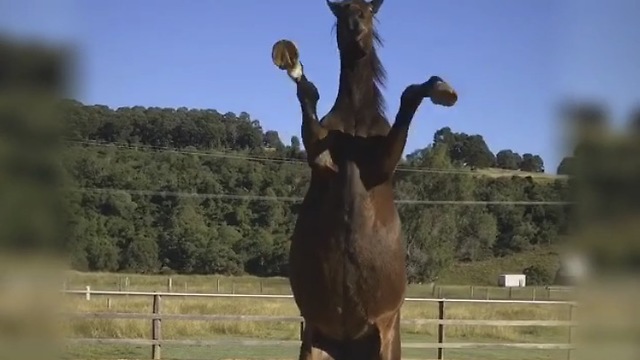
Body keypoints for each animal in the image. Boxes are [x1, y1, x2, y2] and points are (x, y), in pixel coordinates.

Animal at [270, 1, 456, 358]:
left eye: (368, 13)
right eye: (342, 16)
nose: (356, 31)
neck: (355, 123)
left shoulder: (382, 165)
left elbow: (410, 95)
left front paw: (442, 89)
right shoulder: (320, 159)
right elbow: (307, 95)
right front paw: (293, 66)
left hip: (385, 340)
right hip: (312, 344)